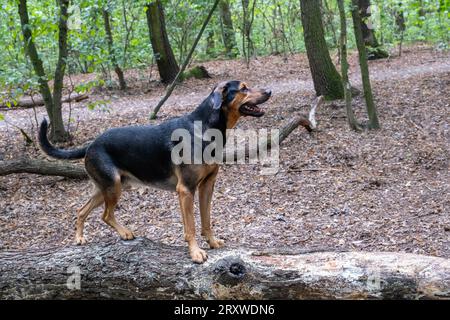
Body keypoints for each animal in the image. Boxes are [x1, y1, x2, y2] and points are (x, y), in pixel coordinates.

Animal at [38, 80, 270, 262]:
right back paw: (124, 233)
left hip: (108, 187)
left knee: (82, 210)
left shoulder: (207, 186)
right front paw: (195, 253)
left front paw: (212, 242)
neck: (203, 129)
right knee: (105, 214)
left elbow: (206, 221)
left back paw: (79, 238)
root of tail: (91, 145)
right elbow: (191, 227)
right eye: (243, 88)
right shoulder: (185, 190)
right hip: (113, 187)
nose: (269, 91)